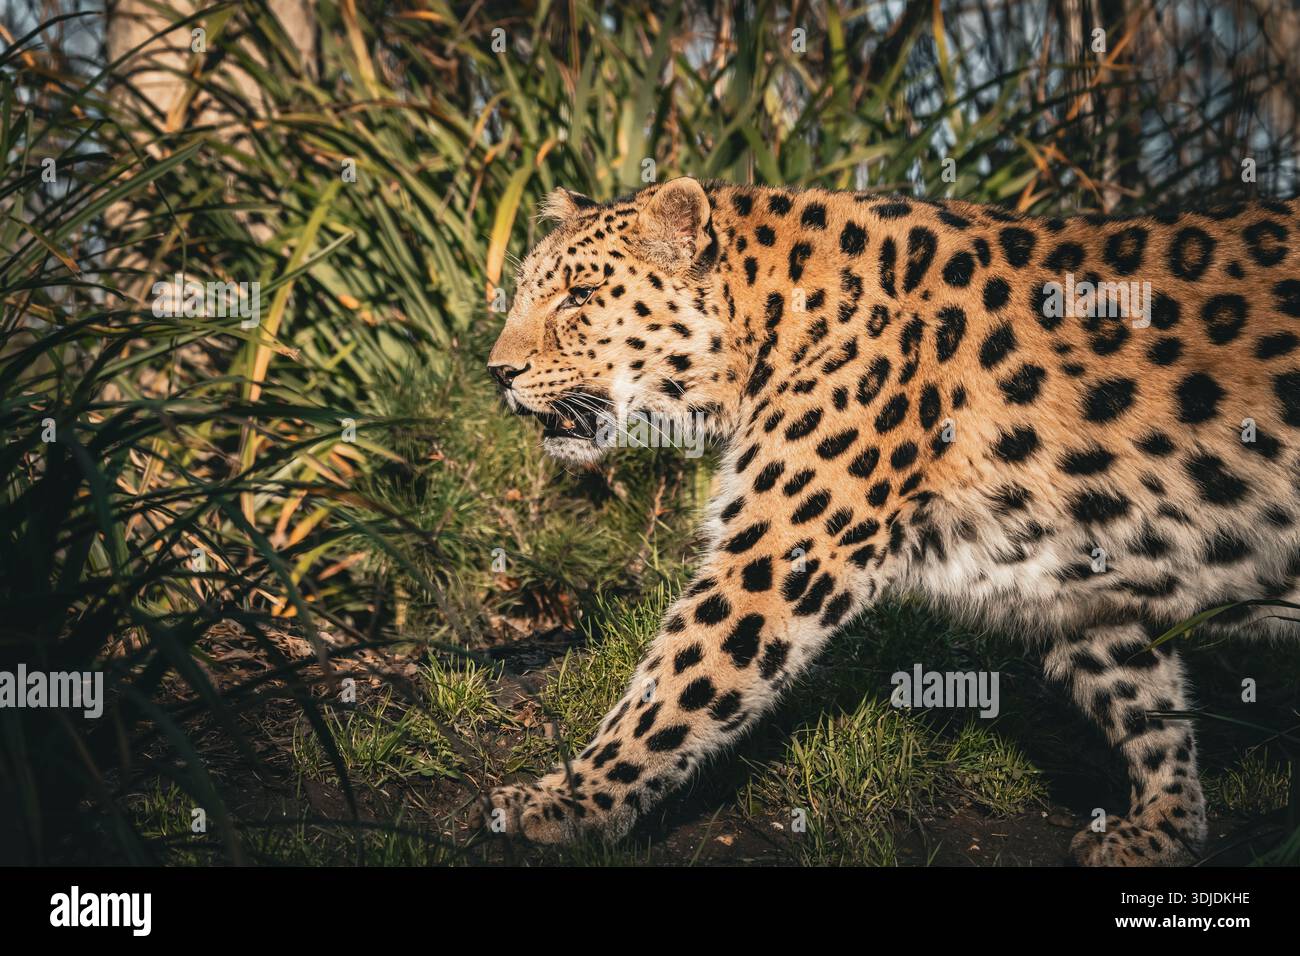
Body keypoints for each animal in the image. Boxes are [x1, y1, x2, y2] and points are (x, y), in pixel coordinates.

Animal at [482, 175, 1300, 865]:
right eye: (527, 295)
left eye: (580, 296)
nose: (498, 373)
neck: (767, 327)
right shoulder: (1082, 576)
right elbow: (1143, 699)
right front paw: (1167, 828)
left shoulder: (778, 557)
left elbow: (678, 682)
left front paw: (568, 802)